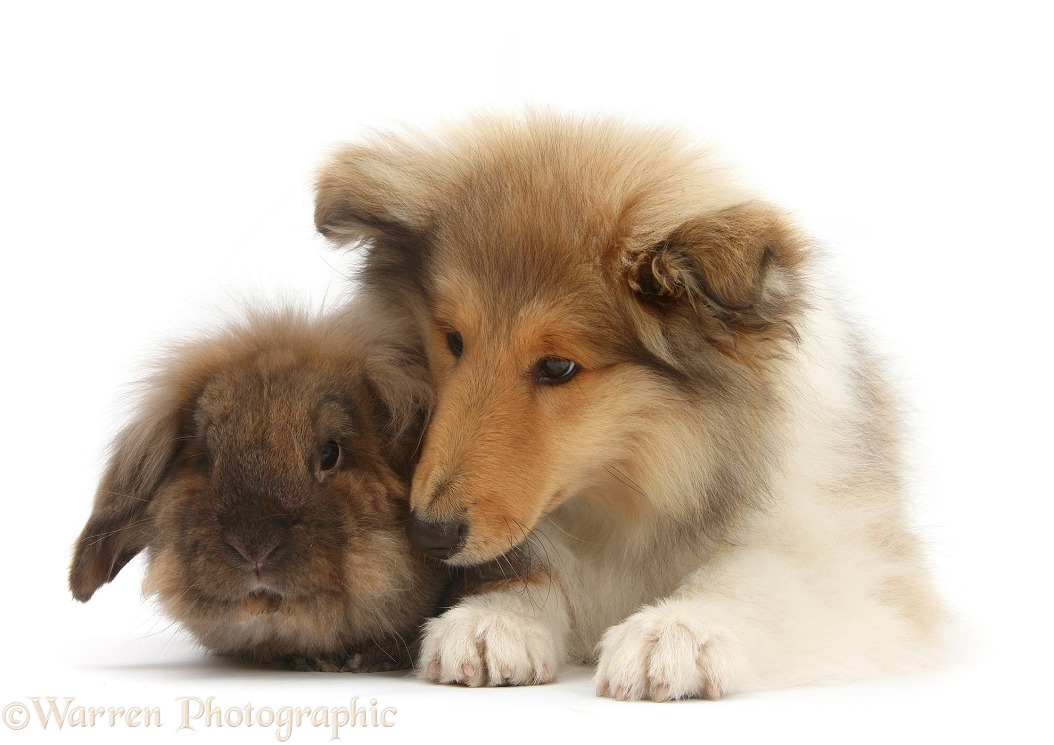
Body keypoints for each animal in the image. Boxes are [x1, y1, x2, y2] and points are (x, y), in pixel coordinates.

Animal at [311, 113, 948, 703]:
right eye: (452, 339)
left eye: (558, 367)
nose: (429, 534)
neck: (637, 486)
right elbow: (535, 564)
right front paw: (495, 619)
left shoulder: (861, 562)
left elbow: (760, 580)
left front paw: (676, 632)